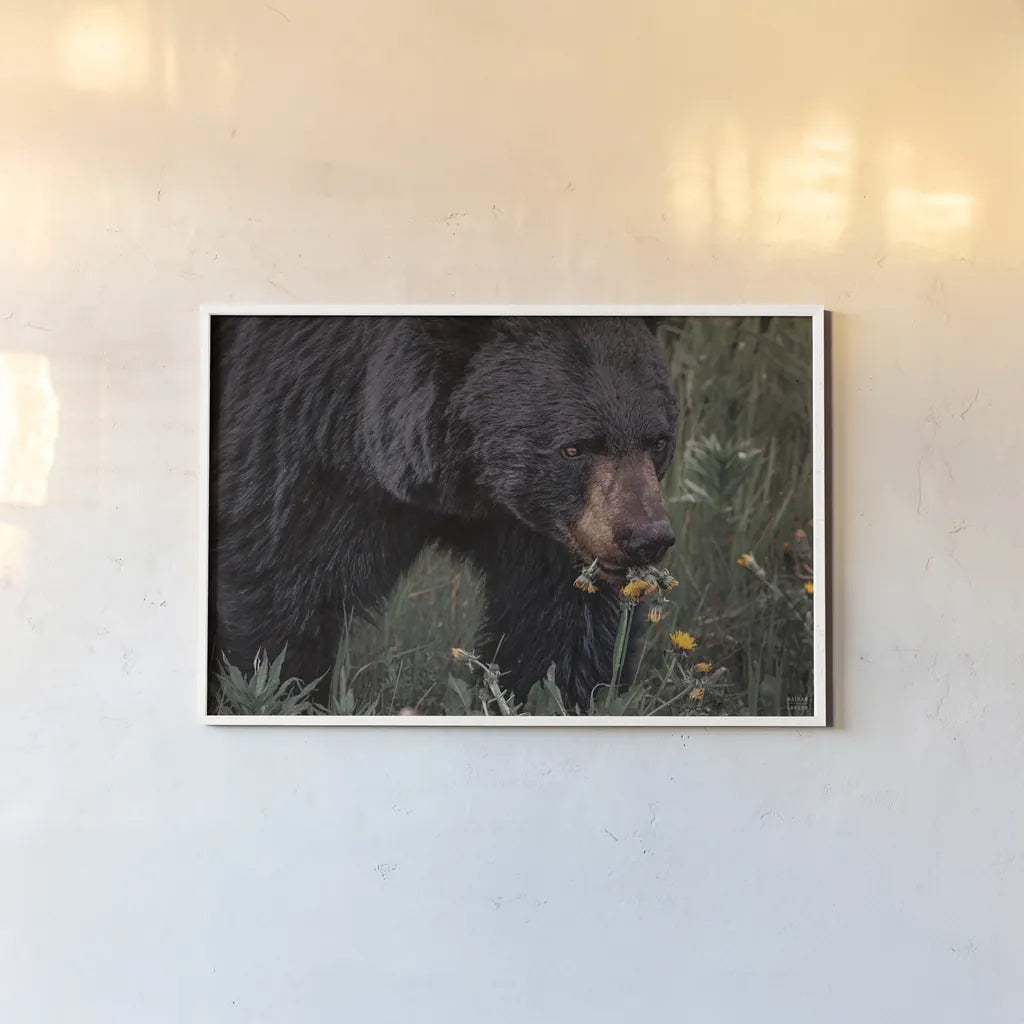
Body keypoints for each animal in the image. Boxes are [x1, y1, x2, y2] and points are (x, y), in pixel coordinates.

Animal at [208, 314, 679, 712]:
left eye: (657, 441)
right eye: (574, 448)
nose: (647, 538)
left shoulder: (542, 523)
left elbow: (559, 617)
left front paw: (546, 697)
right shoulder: (306, 429)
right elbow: (287, 582)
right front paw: (279, 692)